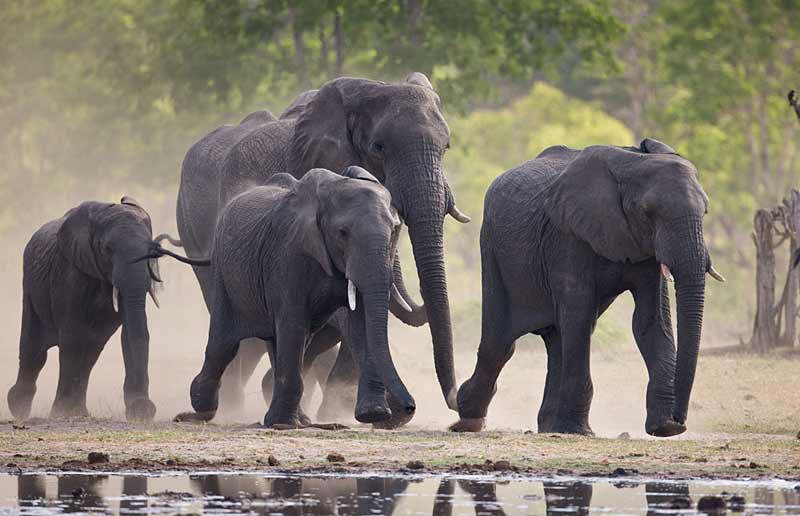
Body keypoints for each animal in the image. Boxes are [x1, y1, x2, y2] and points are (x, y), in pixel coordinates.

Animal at [6, 196, 206, 422]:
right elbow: (72, 335)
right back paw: (20, 408)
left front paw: (141, 412)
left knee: (91, 352)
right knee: (36, 350)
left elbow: (130, 334)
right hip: (30, 287)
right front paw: (61, 413)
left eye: (152, 250)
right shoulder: (69, 272)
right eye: (107, 249)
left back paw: (79, 412)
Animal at [173, 166, 416, 428]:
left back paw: (300, 419)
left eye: (394, 231)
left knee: (279, 343)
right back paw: (202, 408)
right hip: (223, 273)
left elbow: (360, 326)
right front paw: (283, 424)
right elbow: (293, 322)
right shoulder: (287, 254)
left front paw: (374, 414)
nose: (409, 407)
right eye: (342, 233)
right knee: (224, 343)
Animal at [450, 139, 724, 438]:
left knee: (557, 340)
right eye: (647, 212)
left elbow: (650, 319)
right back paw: (467, 418)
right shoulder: (567, 234)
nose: (679, 418)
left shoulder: (648, 250)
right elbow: (578, 311)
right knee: (500, 342)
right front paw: (578, 431)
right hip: (491, 248)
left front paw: (665, 428)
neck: (632, 164)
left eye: (705, 211)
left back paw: (548, 426)